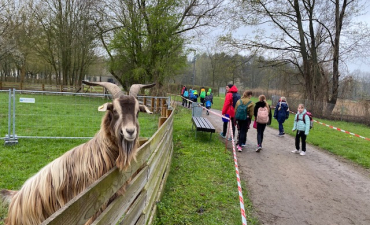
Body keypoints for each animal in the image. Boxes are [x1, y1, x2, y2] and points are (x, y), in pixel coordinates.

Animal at [0, 81, 155, 225]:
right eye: (115, 110)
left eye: (137, 112)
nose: (130, 131)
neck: (101, 153)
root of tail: (15, 198)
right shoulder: (93, 210)